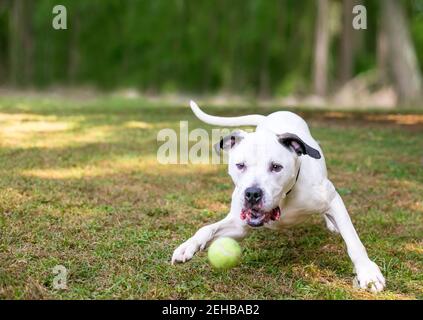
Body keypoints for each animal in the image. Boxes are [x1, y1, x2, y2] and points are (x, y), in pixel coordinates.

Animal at [172, 100, 388, 292]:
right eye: (240, 165)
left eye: (276, 167)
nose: (252, 193)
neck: (284, 200)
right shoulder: (239, 226)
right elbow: (206, 229)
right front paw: (188, 246)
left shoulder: (331, 199)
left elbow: (353, 241)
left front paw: (368, 273)